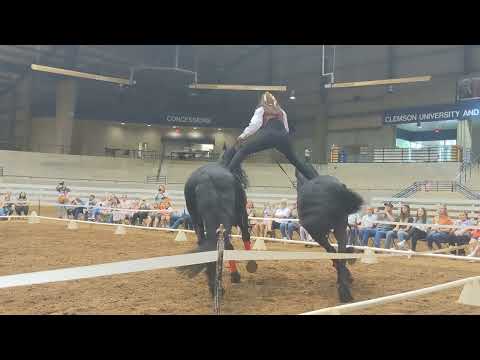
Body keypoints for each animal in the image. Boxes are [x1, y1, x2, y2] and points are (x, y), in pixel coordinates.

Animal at [179, 146, 255, 298]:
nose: (245, 180)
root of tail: (204, 179)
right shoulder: (242, 215)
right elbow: (245, 237)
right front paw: (250, 264)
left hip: (198, 220)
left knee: (207, 244)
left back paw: (214, 286)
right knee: (222, 244)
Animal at [294, 162, 362, 300]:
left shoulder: (318, 234)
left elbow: (331, 252)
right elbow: (336, 254)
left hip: (319, 233)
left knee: (335, 253)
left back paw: (344, 290)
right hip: (340, 227)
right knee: (341, 253)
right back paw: (345, 288)